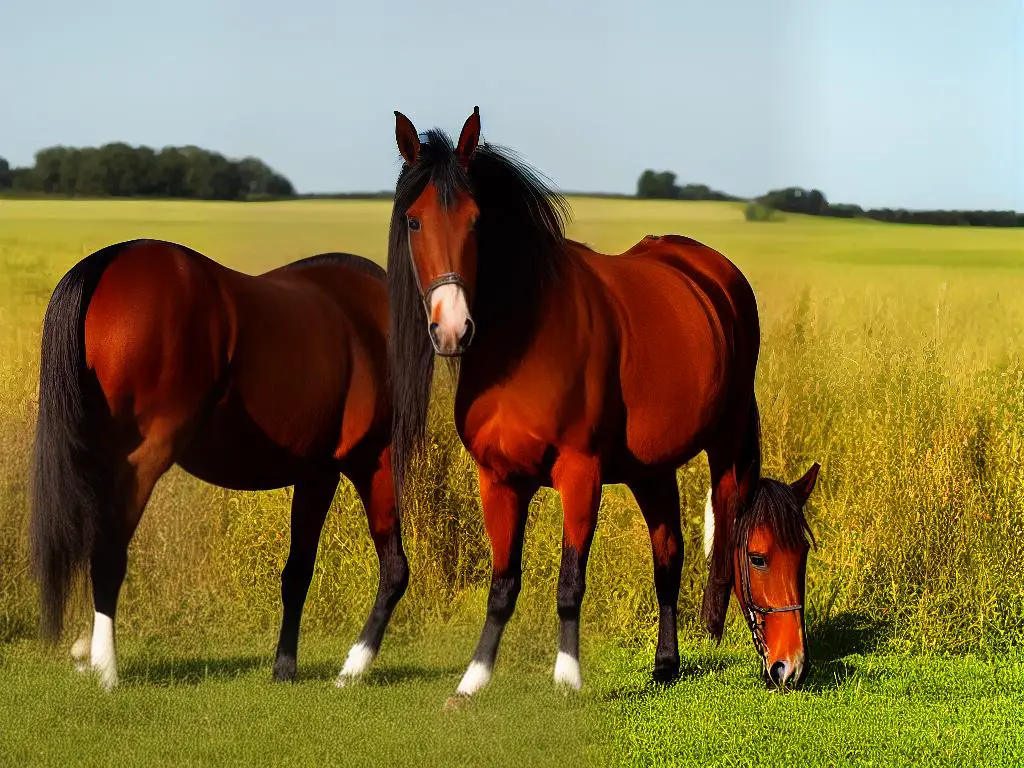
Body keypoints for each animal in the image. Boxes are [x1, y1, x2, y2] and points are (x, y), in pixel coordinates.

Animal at [27, 240, 407, 692]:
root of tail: (112, 259)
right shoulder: (362, 460)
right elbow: (389, 569)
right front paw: (351, 666)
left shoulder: (316, 471)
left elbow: (298, 572)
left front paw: (285, 667)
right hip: (141, 463)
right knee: (107, 555)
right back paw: (106, 669)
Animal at [385, 105, 823, 700]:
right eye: (414, 220)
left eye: (477, 220)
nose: (452, 329)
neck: (524, 344)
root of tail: (710, 270)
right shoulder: (497, 479)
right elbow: (503, 583)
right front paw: (472, 683)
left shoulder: (580, 474)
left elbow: (570, 582)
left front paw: (567, 681)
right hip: (652, 469)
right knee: (668, 556)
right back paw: (667, 664)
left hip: (728, 436)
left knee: (724, 515)